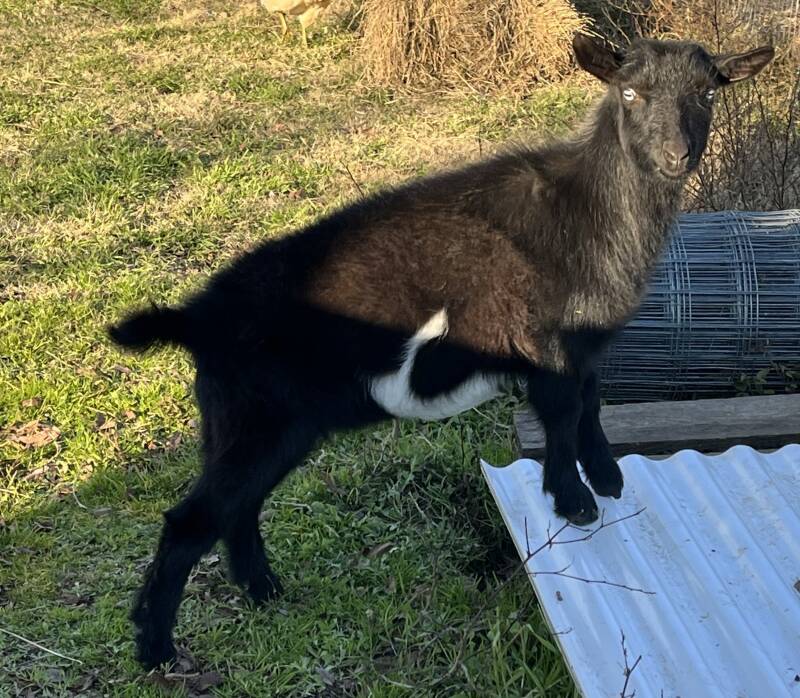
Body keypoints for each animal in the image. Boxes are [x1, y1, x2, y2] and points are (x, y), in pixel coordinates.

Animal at [110, 34, 774, 669]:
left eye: (708, 93)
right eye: (630, 93)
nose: (676, 156)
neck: (586, 211)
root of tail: (196, 318)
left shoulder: (588, 345)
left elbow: (592, 405)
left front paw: (607, 478)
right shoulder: (549, 344)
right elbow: (562, 415)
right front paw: (575, 501)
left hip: (259, 427)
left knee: (238, 509)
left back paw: (264, 593)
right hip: (256, 420)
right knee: (191, 521)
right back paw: (157, 651)